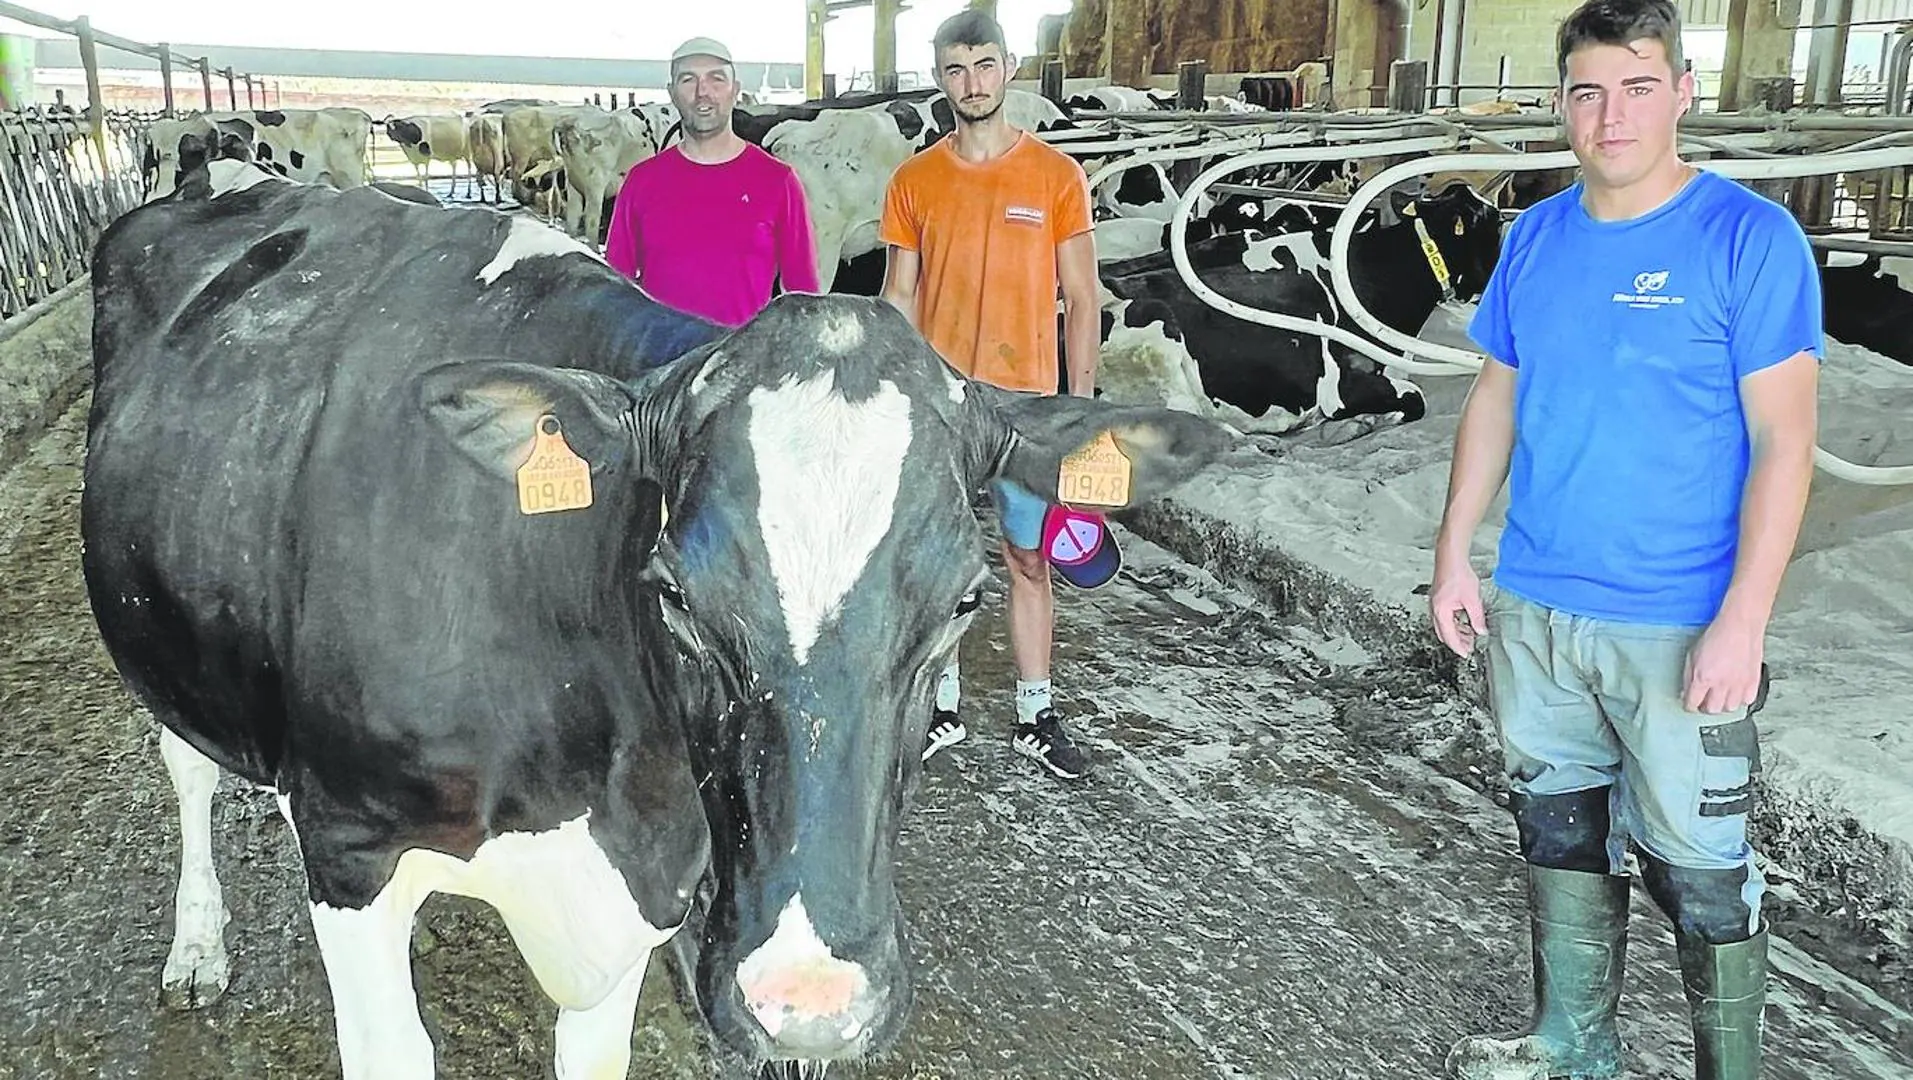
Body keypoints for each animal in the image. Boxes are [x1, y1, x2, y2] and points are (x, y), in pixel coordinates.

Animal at [82, 159, 1224, 1078]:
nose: (810, 1003)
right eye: (674, 591)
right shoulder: (351, 846)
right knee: (185, 764)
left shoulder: (647, 881)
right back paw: (196, 947)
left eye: (964, 601)